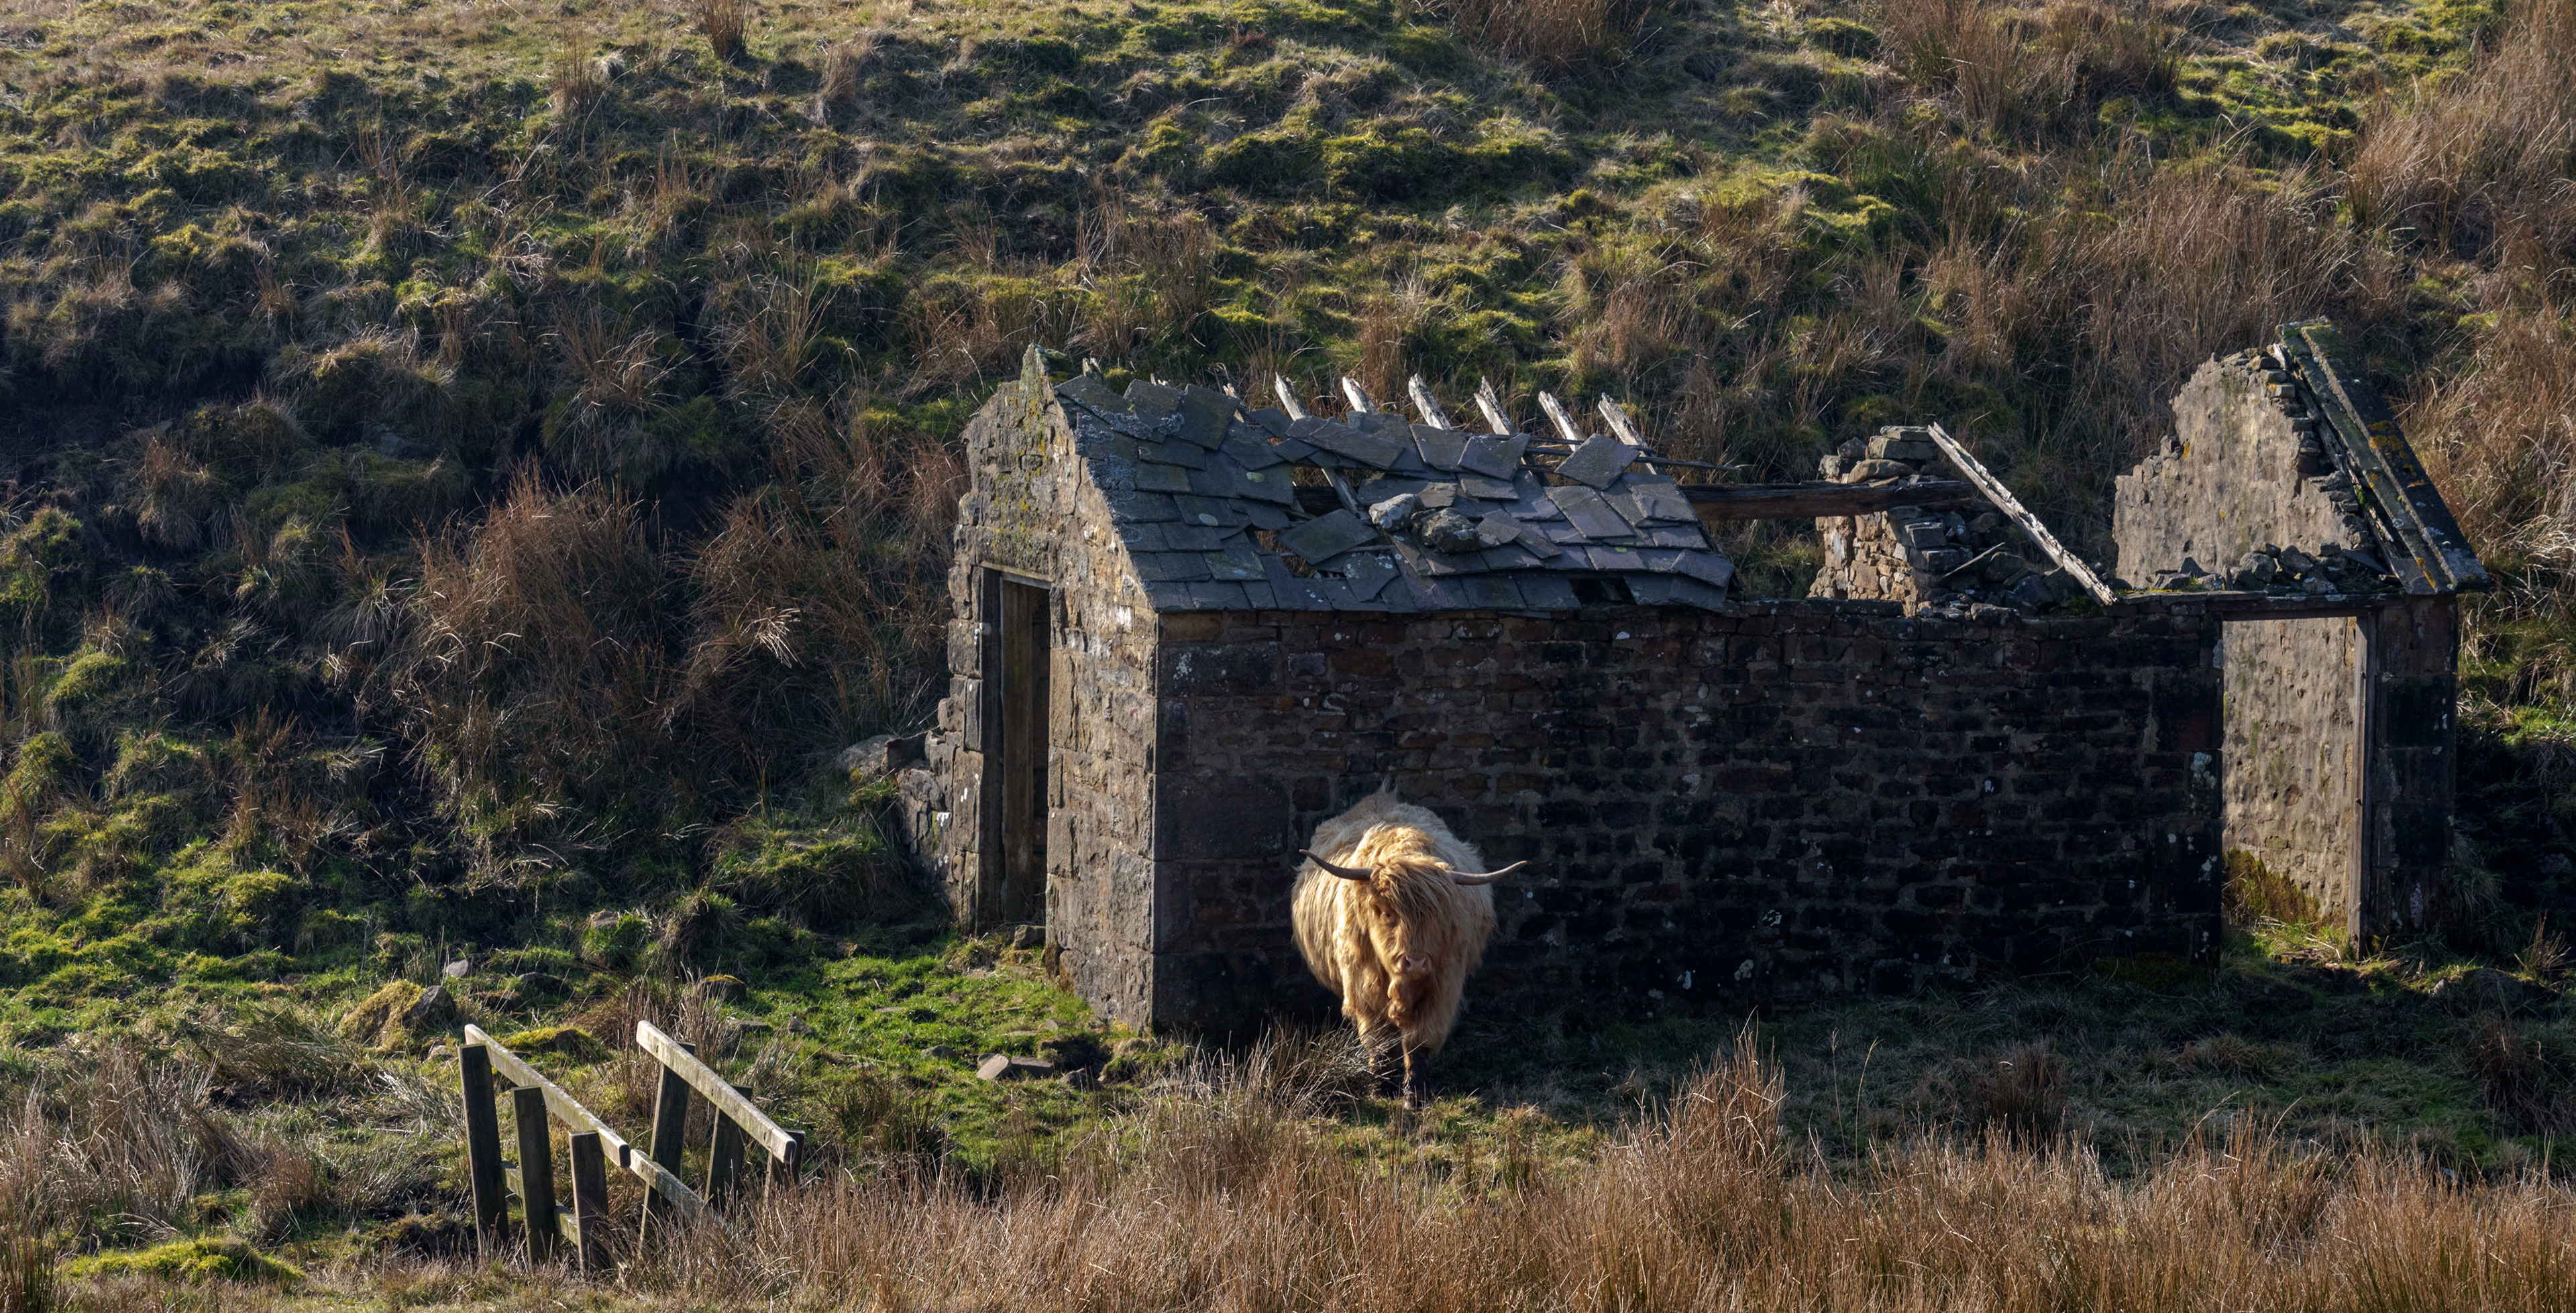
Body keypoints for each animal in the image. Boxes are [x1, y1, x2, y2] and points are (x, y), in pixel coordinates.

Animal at [1291, 786, 1525, 1107]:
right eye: (1387, 913)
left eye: (1437, 914)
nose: (1415, 962)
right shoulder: (1364, 990)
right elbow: (1380, 1042)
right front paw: (1380, 1087)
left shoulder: (1443, 988)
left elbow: (1419, 1041)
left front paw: (1415, 1092)